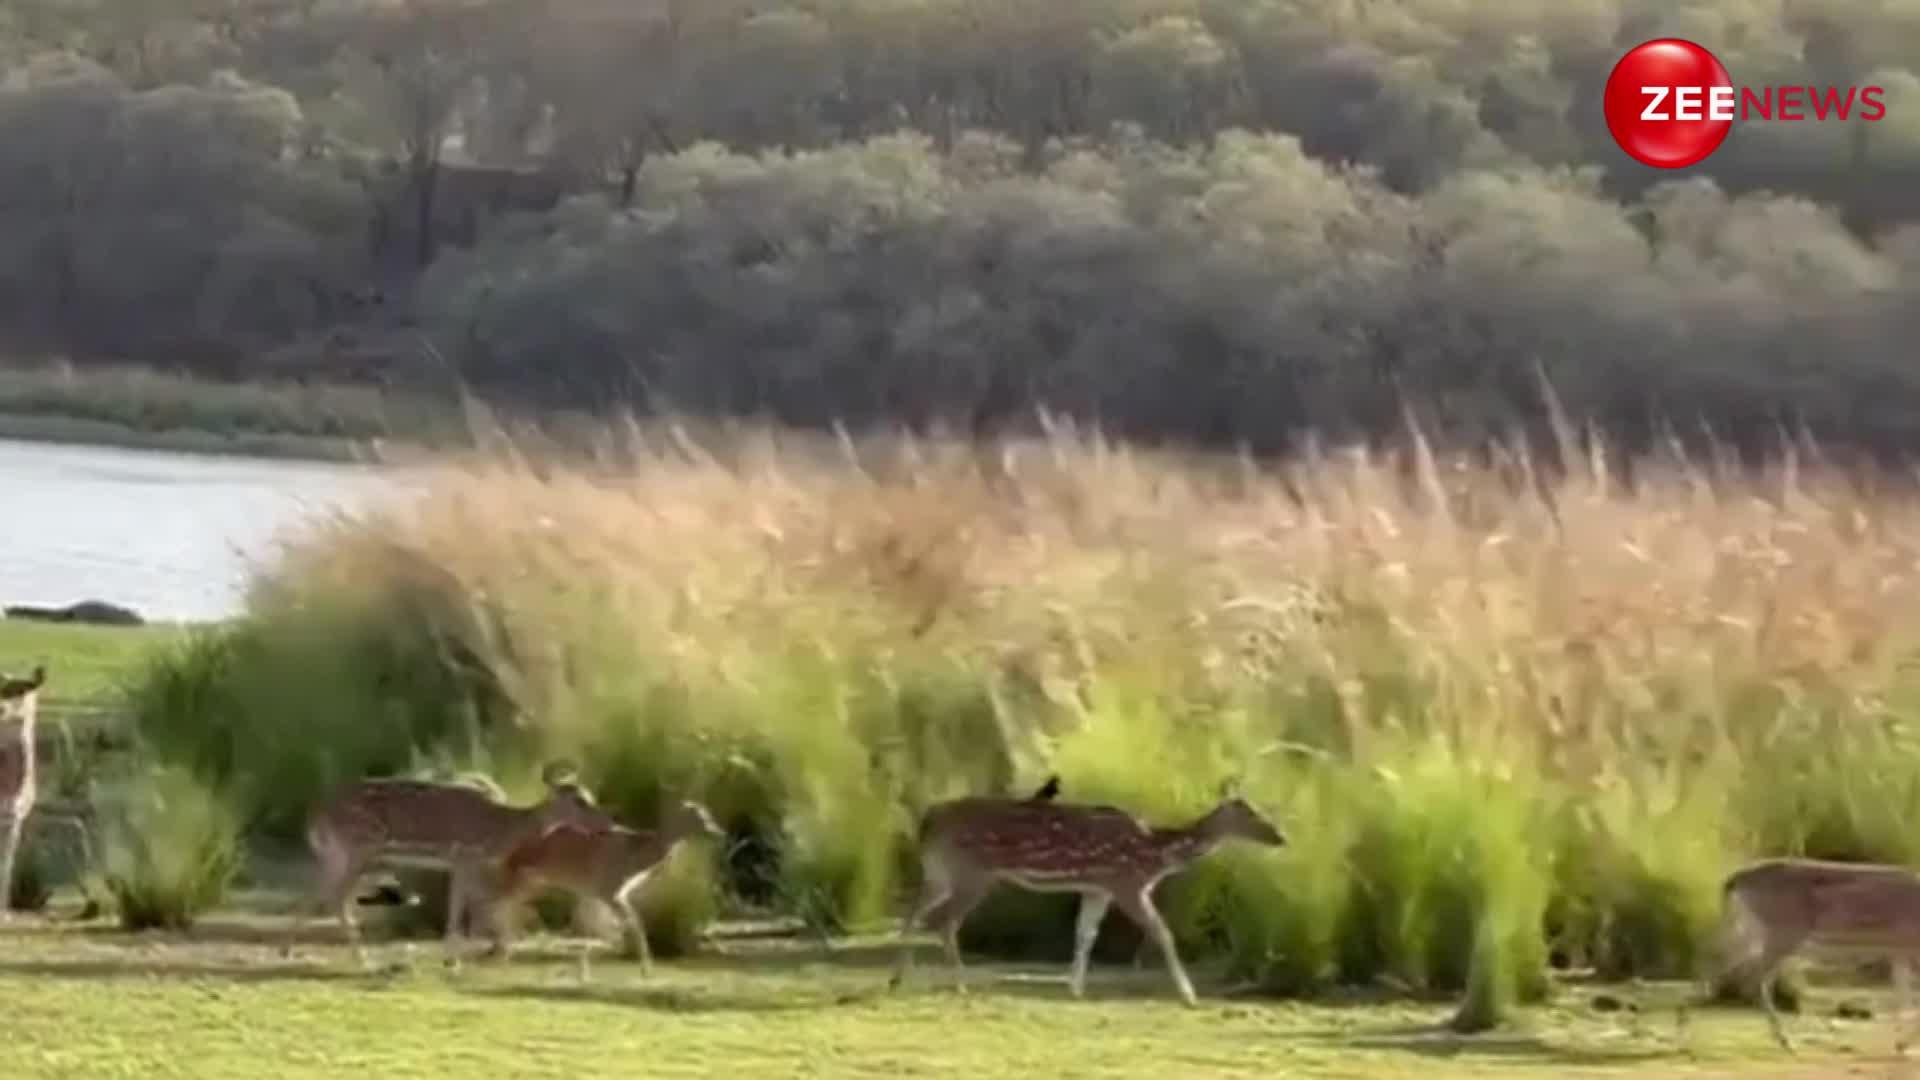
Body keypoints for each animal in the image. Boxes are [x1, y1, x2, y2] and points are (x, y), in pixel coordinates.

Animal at [284, 757, 610, 968]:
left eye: (590, 794)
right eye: (579, 800)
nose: (607, 822)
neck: (500, 828)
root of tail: (315, 815)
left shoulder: (459, 864)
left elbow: (468, 905)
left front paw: (468, 954)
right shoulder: (465, 857)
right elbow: (465, 907)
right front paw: (463, 957)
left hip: (337, 855)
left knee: (313, 893)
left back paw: (288, 951)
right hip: (360, 849)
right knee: (336, 898)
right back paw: (362, 958)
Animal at [480, 795, 725, 972]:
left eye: (708, 814)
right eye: (699, 817)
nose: (719, 833)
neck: (635, 857)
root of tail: (513, 846)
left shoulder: (606, 893)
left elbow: (607, 928)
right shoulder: (609, 891)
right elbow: (627, 926)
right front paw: (646, 969)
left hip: (533, 883)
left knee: (508, 907)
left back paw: (503, 950)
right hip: (519, 878)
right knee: (497, 904)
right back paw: (498, 953)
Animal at [887, 780, 1290, 999]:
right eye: (1249, 812)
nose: (1280, 837)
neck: (1154, 855)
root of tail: (927, 821)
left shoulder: (1099, 889)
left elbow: (1085, 934)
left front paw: (1075, 988)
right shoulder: (1127, 883)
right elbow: (1162, 932)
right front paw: (1189, 996)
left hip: (940, 872)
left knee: (913, 913)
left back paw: (898, 979)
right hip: (973, 874)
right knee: (944, 921)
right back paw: (959, 985)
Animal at [1720, 853, 1920, 1045]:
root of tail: (1735, 880)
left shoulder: (1900, 954)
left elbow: (1904, 996)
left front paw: (1901, 1043)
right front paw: (1903, 1043)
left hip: (1754, 935)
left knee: (1739, 972)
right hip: (1782, 935)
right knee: (1755, 980)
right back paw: (1788, 1040)